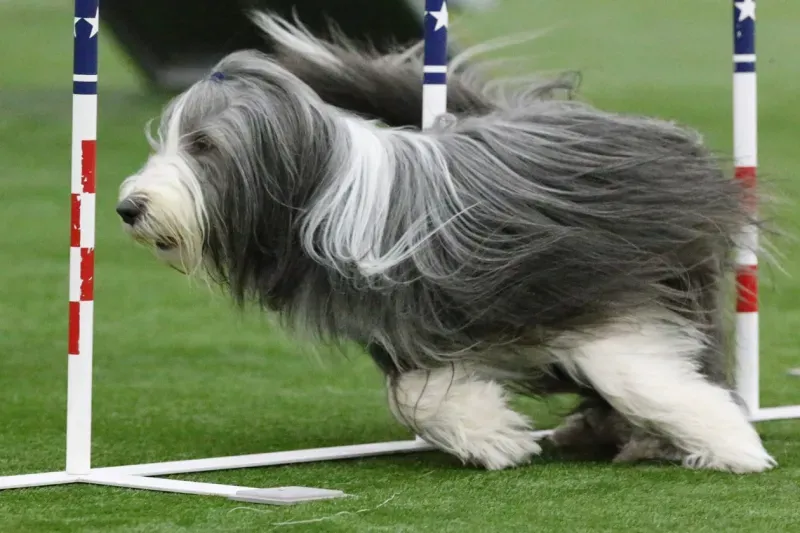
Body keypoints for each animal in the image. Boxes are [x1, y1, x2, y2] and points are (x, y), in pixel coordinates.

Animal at [117, 11, 776, 470]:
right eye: (166, 142)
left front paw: (732, 446)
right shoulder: (403, 323)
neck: (331, 194)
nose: (128, 207)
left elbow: (632, 370)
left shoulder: (589, 283)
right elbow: (415, 394)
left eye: (203, 144)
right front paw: (495, 438)